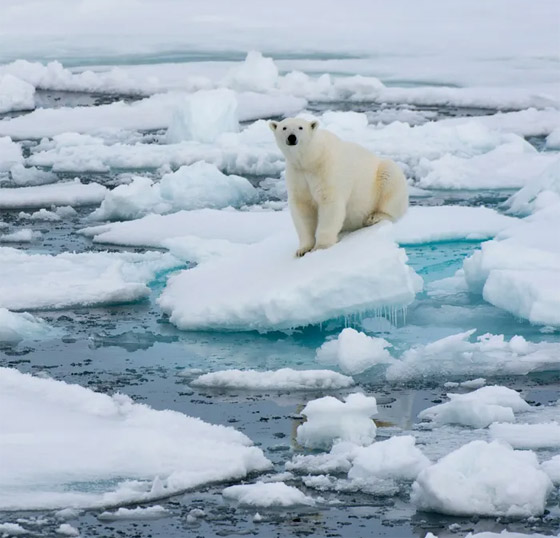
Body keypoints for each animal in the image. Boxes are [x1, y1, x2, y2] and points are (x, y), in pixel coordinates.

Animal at [270, 119, 406, 255]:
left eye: (300, 127)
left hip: (381, 178)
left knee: (390, 181)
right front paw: (303, 249)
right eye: (284, 128)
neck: (310, 158)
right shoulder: (298, 175)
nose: (292, 137)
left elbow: (329, 203)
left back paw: (374, 217)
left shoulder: (326, 169)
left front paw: (321, 247)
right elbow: (302, 208)